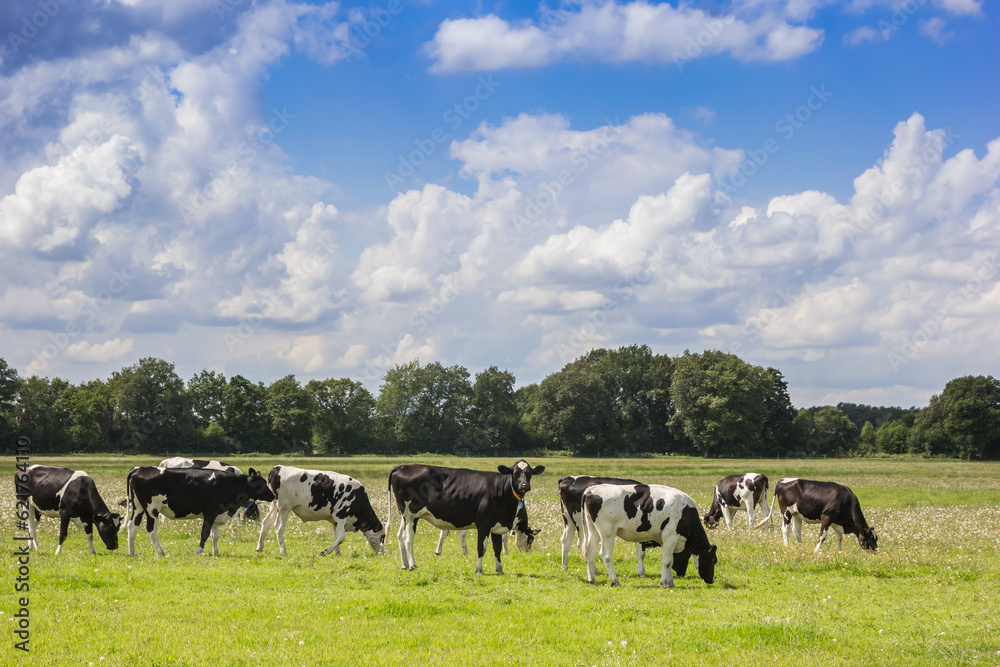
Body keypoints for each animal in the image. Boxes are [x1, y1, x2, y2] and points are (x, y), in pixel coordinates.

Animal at [125, 468, 276, 556]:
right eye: (261, 484)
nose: (273, 495)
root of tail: (139, 469)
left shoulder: (217, 514)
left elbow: (215, 535)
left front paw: (216, 552)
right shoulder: (210, 512)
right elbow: (205, 533)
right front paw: (200, 551)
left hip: (138, 507)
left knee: (132, 527)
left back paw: (131, 552)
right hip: (152, 509)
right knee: (151, 529)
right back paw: (160, 552)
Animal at [390, 460, 548, 576]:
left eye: (529, 473)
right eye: (515, 473)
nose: (524, 485)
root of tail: (402, 466)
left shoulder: (496, 527)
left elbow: (496, 549)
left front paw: (499, 569)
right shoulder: (483, 524)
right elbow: (481, 547)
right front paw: (479, 569)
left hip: (406, 516)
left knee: (400, 536)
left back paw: (404, 565)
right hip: (410, 515)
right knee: (408, 539)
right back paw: (412, 564)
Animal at [560, 474, 692, 580]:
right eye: (686, 555)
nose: (681, 574)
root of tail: (567, 478)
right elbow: (641, 553)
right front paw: (641, 573)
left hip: (569, 521)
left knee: (566, 541)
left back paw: (565, 568)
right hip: (580, 522)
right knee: (581, 543)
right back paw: (594, 570)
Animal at [584, 482, 716, 588]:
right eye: (713, 560)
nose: (712, 580)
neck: (685, 512)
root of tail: (592, 489)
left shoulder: (665, 540)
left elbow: (670, 561)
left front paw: (670, 582)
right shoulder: (670, 536)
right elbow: (667, 561)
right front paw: (664, 583)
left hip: (593, 530)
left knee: (589, 553)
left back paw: (592, 580)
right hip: (607, 532)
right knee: (605, 555)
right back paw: (615, 581)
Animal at [752, 480, 880, 552]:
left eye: (876, 538)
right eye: (870, 538)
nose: (876, 551)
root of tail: (782, 481)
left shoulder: (836, 522)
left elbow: (839, 538)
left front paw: (839, 552)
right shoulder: (826, 517)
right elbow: (822, 537)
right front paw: (816, 551)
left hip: (797, 514)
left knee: (796, 531)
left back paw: (801, 548)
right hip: (786, 511)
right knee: (785, 529)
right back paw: (786, 546)